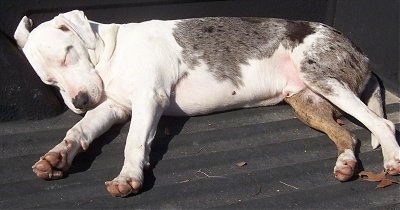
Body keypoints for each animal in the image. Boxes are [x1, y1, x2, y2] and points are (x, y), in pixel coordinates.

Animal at [14, 9, 398, 197]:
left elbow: (134, 143)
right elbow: (78, 130)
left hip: (322, 78)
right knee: (349, 135)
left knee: (382, 123)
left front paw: (129, 176)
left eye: (67, 54)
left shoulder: (148, 100)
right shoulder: (114, 107)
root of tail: (360, 52)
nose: (79, 100)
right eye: (49, 82)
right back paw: (346, 164)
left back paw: (392, 161)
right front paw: (56, 157)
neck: (112, 50)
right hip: (305, 101)